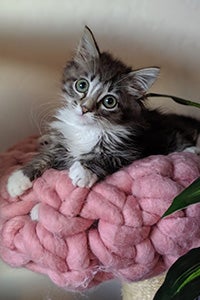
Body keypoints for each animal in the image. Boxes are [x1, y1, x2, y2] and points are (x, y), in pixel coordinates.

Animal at [6, 27, 200, 198]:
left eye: (109, 101)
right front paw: (19, 178)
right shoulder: (61, 140)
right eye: (81, 85)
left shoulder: (130, 150)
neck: (86, 129)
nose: (84, 108)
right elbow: (46, 155)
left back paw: (191, 150)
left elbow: (104, 157)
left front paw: (83, 171)